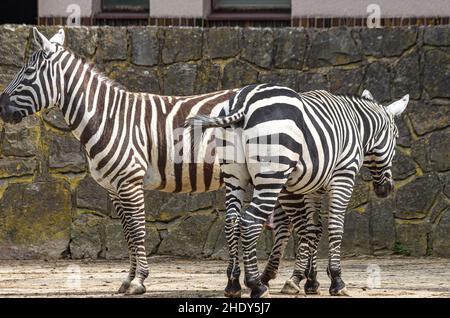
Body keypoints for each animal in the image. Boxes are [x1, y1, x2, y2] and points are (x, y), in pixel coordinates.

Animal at [185, 83, 410, 296]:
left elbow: (313, 228)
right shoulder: (343, 176)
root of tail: (244, 99)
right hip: (272, 174)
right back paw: (256, 285)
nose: (386, 189)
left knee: (232, 221)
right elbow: (335, 227)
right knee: (250, 222)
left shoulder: (312, 188)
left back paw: (233, 284)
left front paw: (309, 280)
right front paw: (336, 280)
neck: (357, 125)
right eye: (396, 136)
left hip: (235, 176)